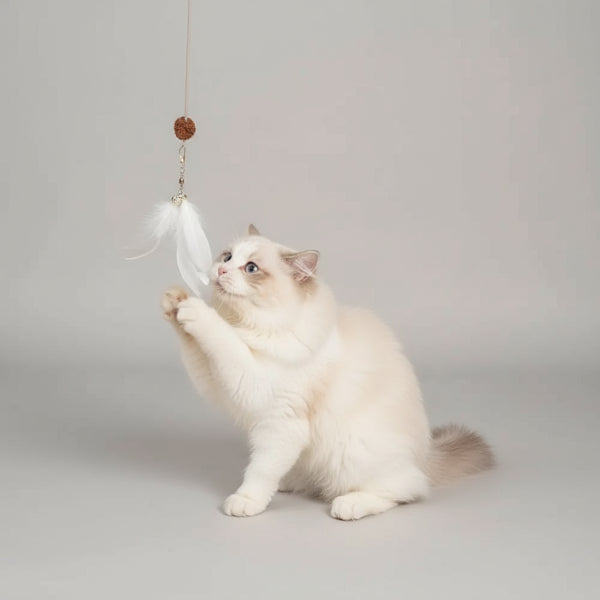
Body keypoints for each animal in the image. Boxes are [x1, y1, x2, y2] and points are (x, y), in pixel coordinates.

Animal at [161, 225, 494, 520]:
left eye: (251, 268)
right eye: (228, 257)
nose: (220, 271)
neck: (252, 326)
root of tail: (424, 456)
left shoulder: (269, 403)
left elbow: (260, 468)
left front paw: (247, 500)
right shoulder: (221, 386)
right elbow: (201, 349)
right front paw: (175, 302)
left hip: (352, 454)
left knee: (407, 489)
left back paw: (350, 504)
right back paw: (289, 482)